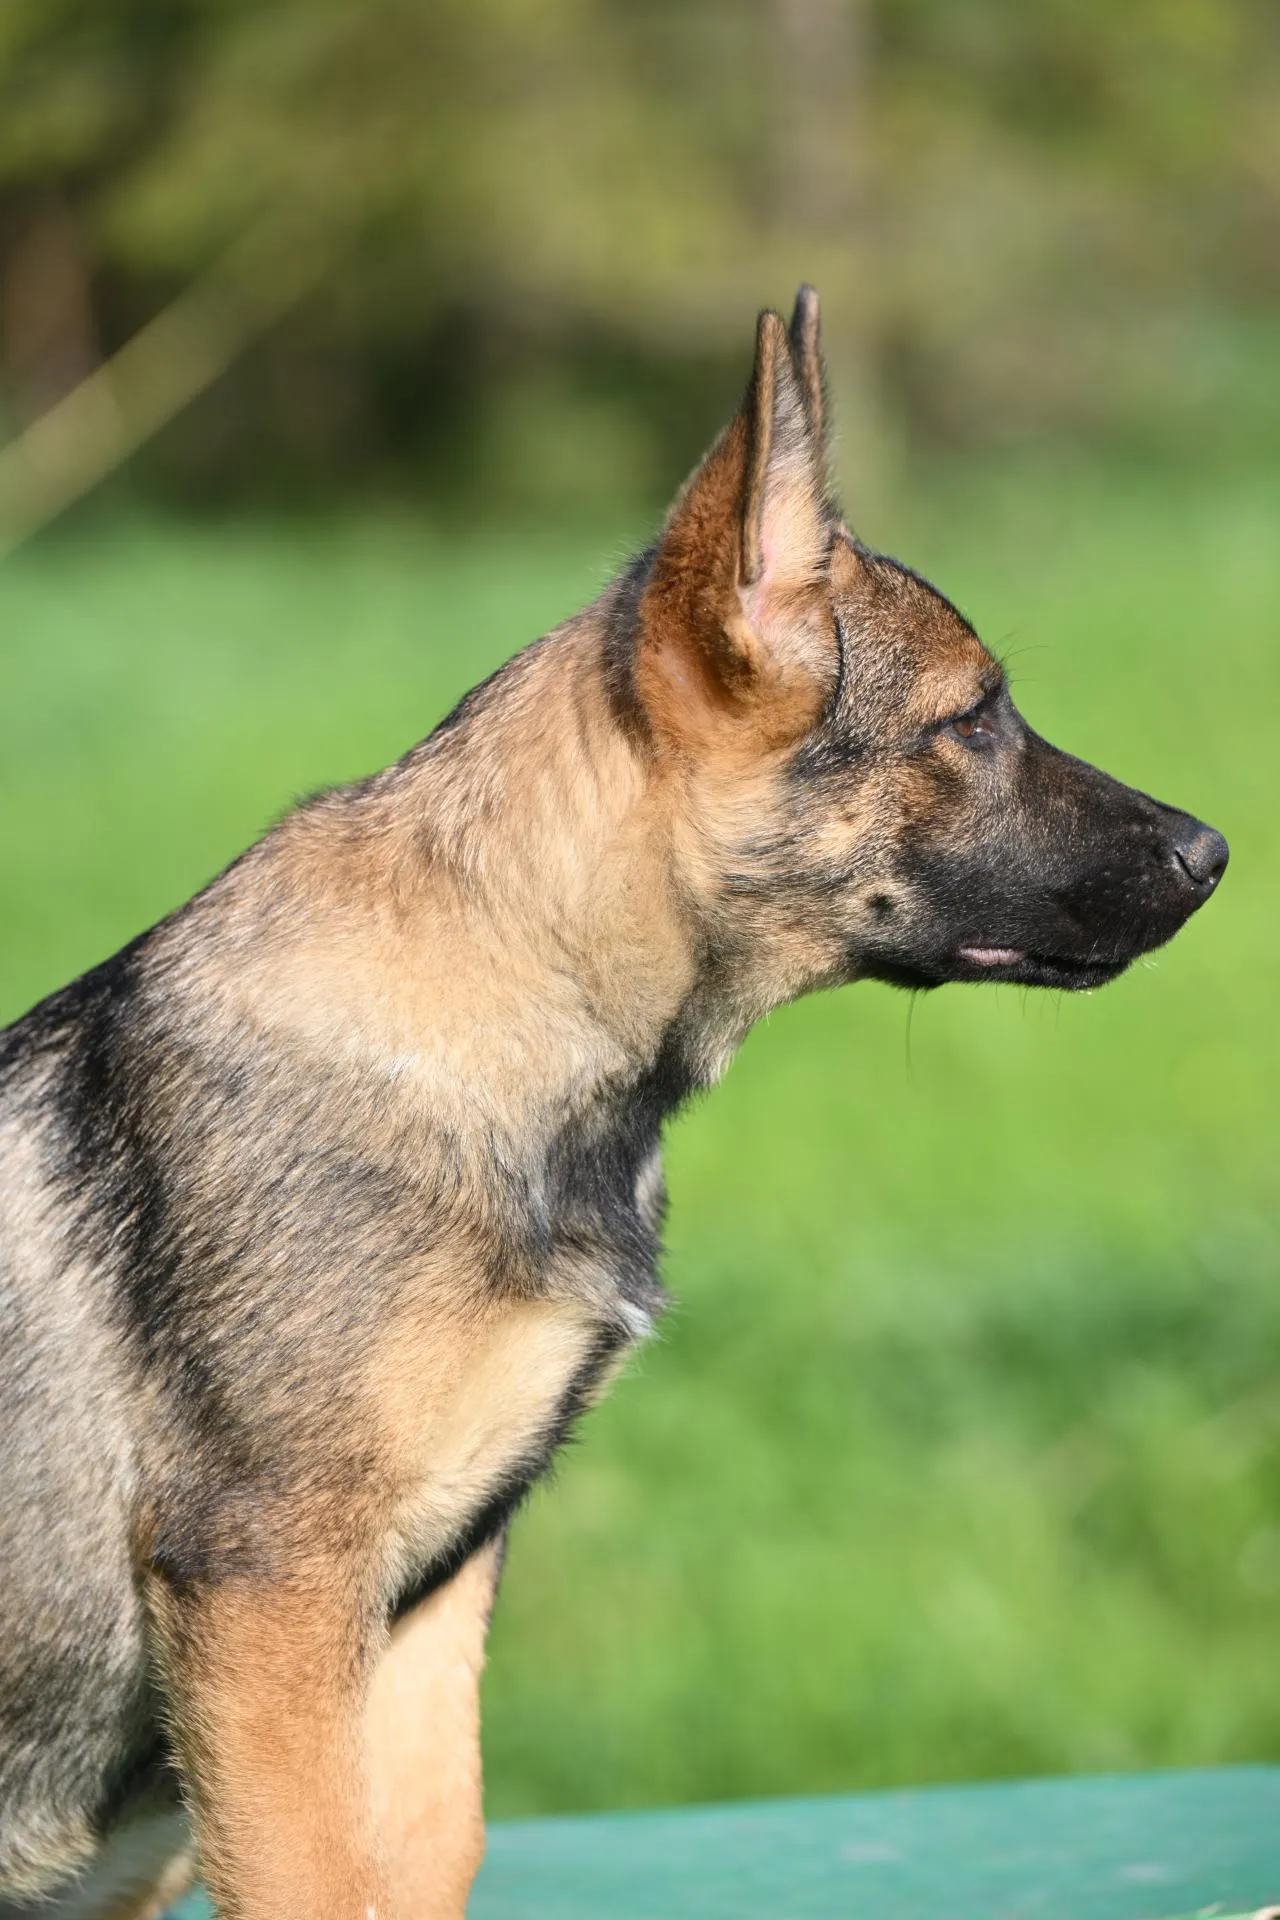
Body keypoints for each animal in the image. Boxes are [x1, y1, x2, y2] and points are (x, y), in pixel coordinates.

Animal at [0, 287, 1227, 1920]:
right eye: (973, 722)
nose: (1215, 853)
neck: (508, 996)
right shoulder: (272, 1585)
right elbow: (322, 1880)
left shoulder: (428, 1608)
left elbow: (420, 1856)